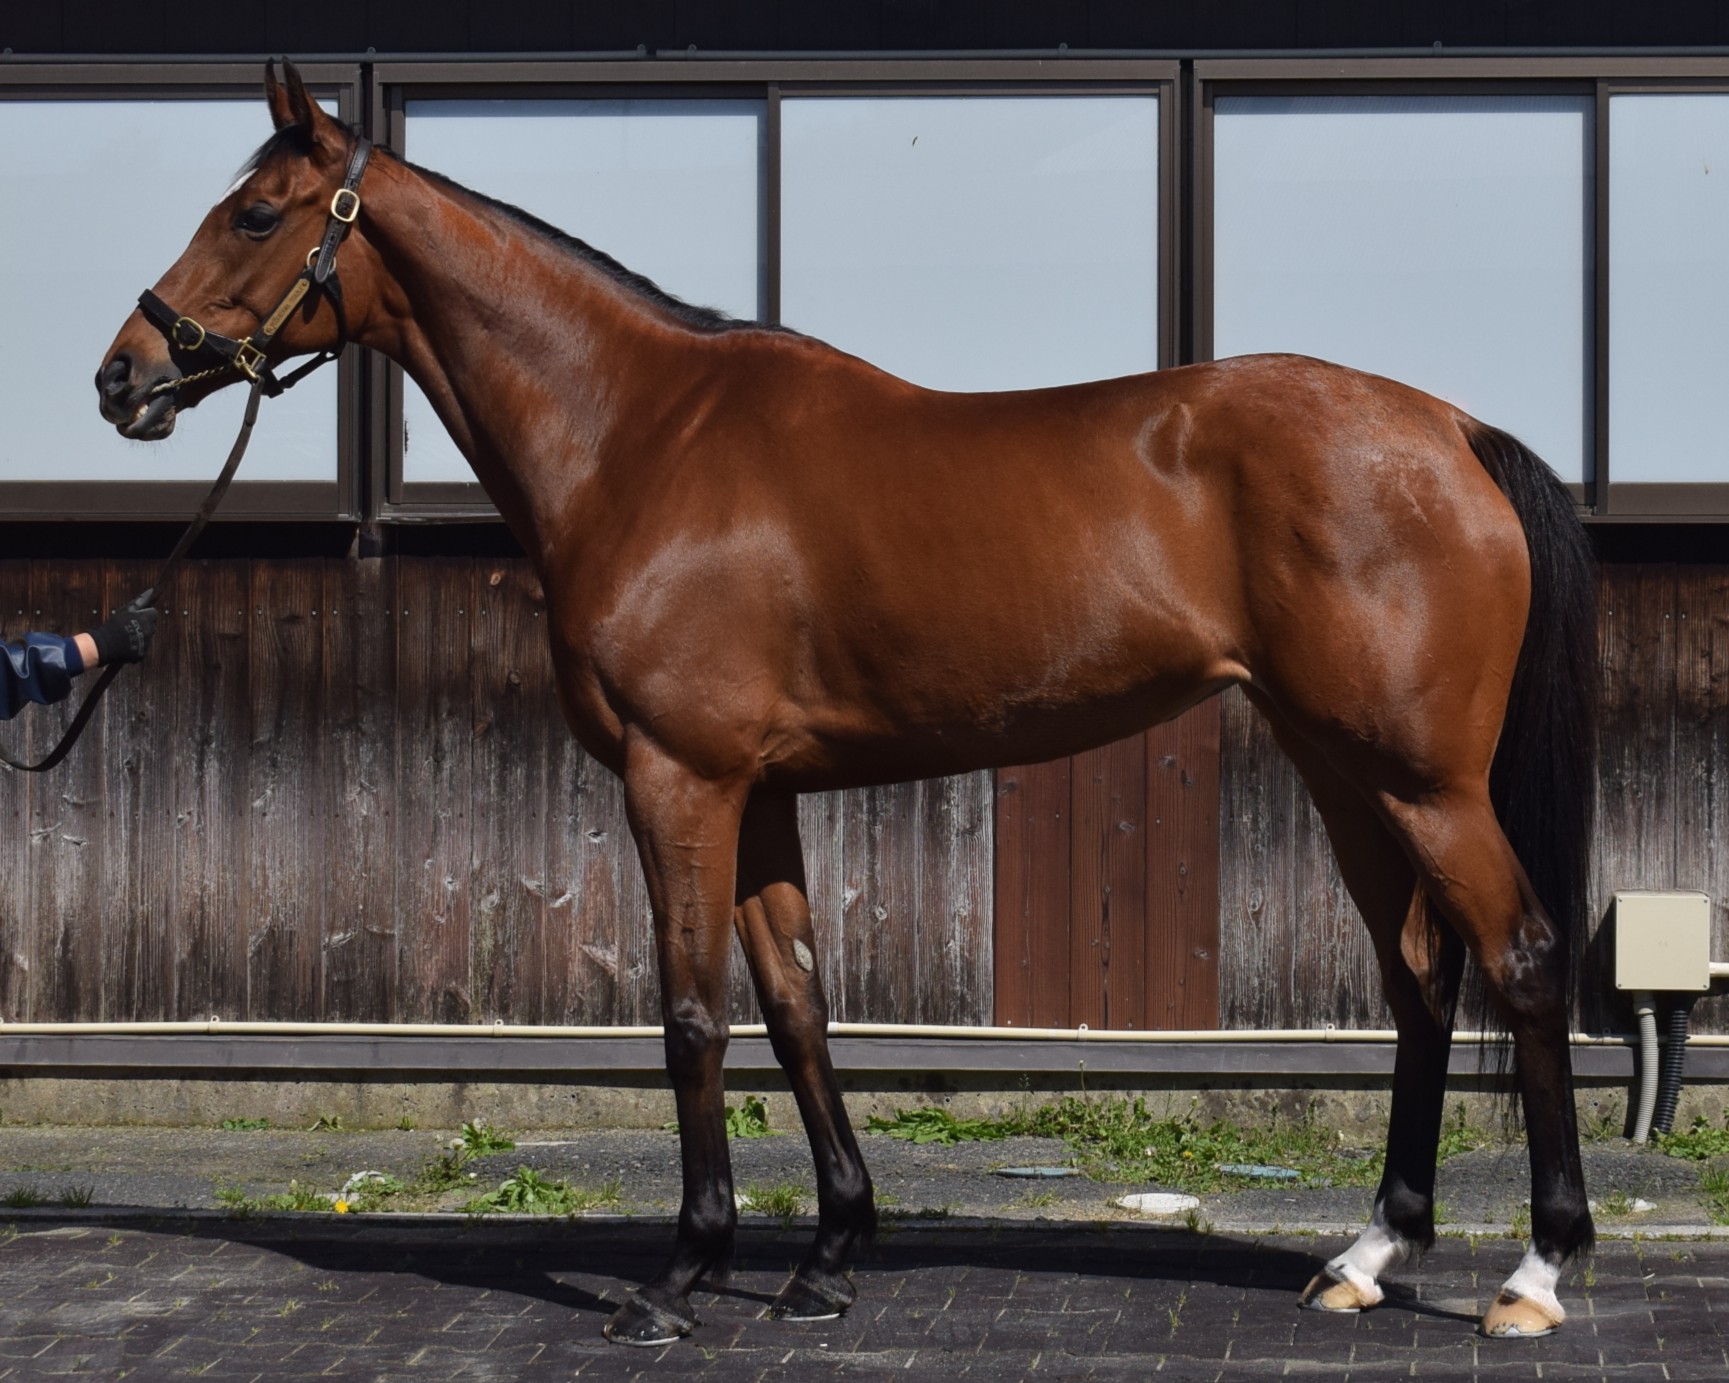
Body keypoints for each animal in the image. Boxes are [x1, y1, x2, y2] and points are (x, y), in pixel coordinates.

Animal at [96, 61, 1598, 1345]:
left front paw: (683, 1273)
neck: (638, 437)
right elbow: (798, 1006)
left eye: (256, 211)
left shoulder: (680, 776)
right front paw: (825, 1255)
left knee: (1521, 957)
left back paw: (1534, 1271)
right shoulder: (759, 791)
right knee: (1419, 978)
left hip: (1422, 782)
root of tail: (1450, 429)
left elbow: (693, 1016)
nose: (122, 375)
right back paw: (1367, 1253)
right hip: (1346, 772)